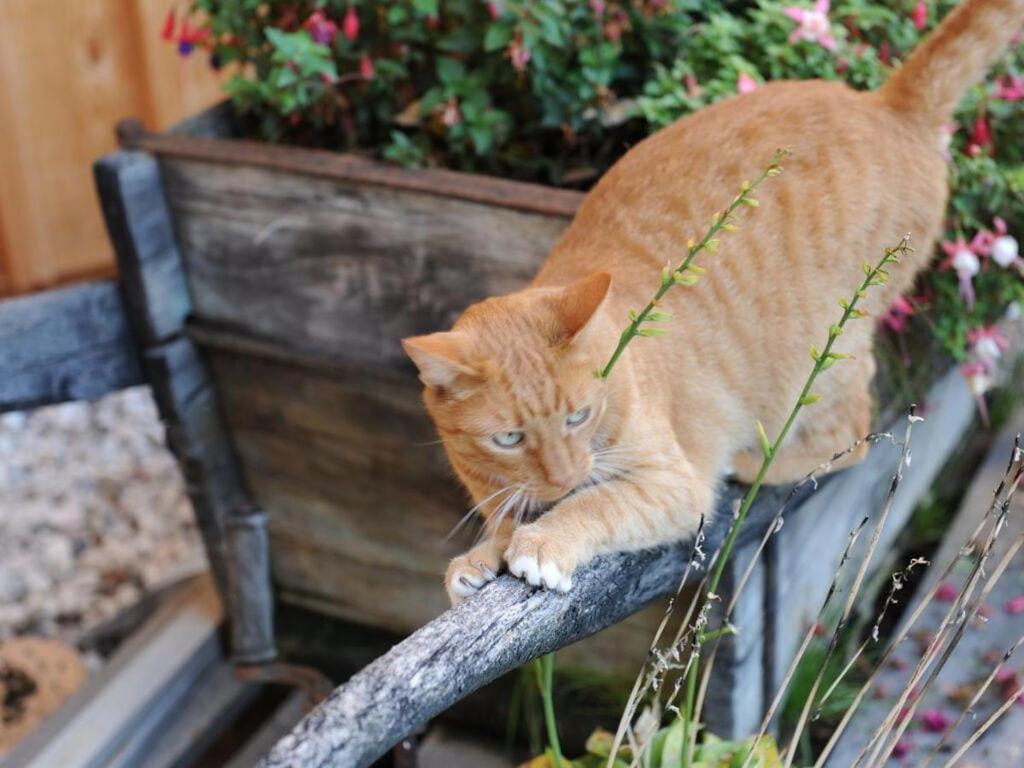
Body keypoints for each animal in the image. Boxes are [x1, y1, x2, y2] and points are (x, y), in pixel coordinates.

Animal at [401, 0, 1024, 606]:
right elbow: (507, 520)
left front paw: (544, 539)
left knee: (853, 431)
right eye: (508, 439)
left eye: (579, 416)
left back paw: (757, 462)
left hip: (827, 354)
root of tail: (883, 103)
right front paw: (483, 555)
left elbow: (597, 503)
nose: (563, 474)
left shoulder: (675, 485)